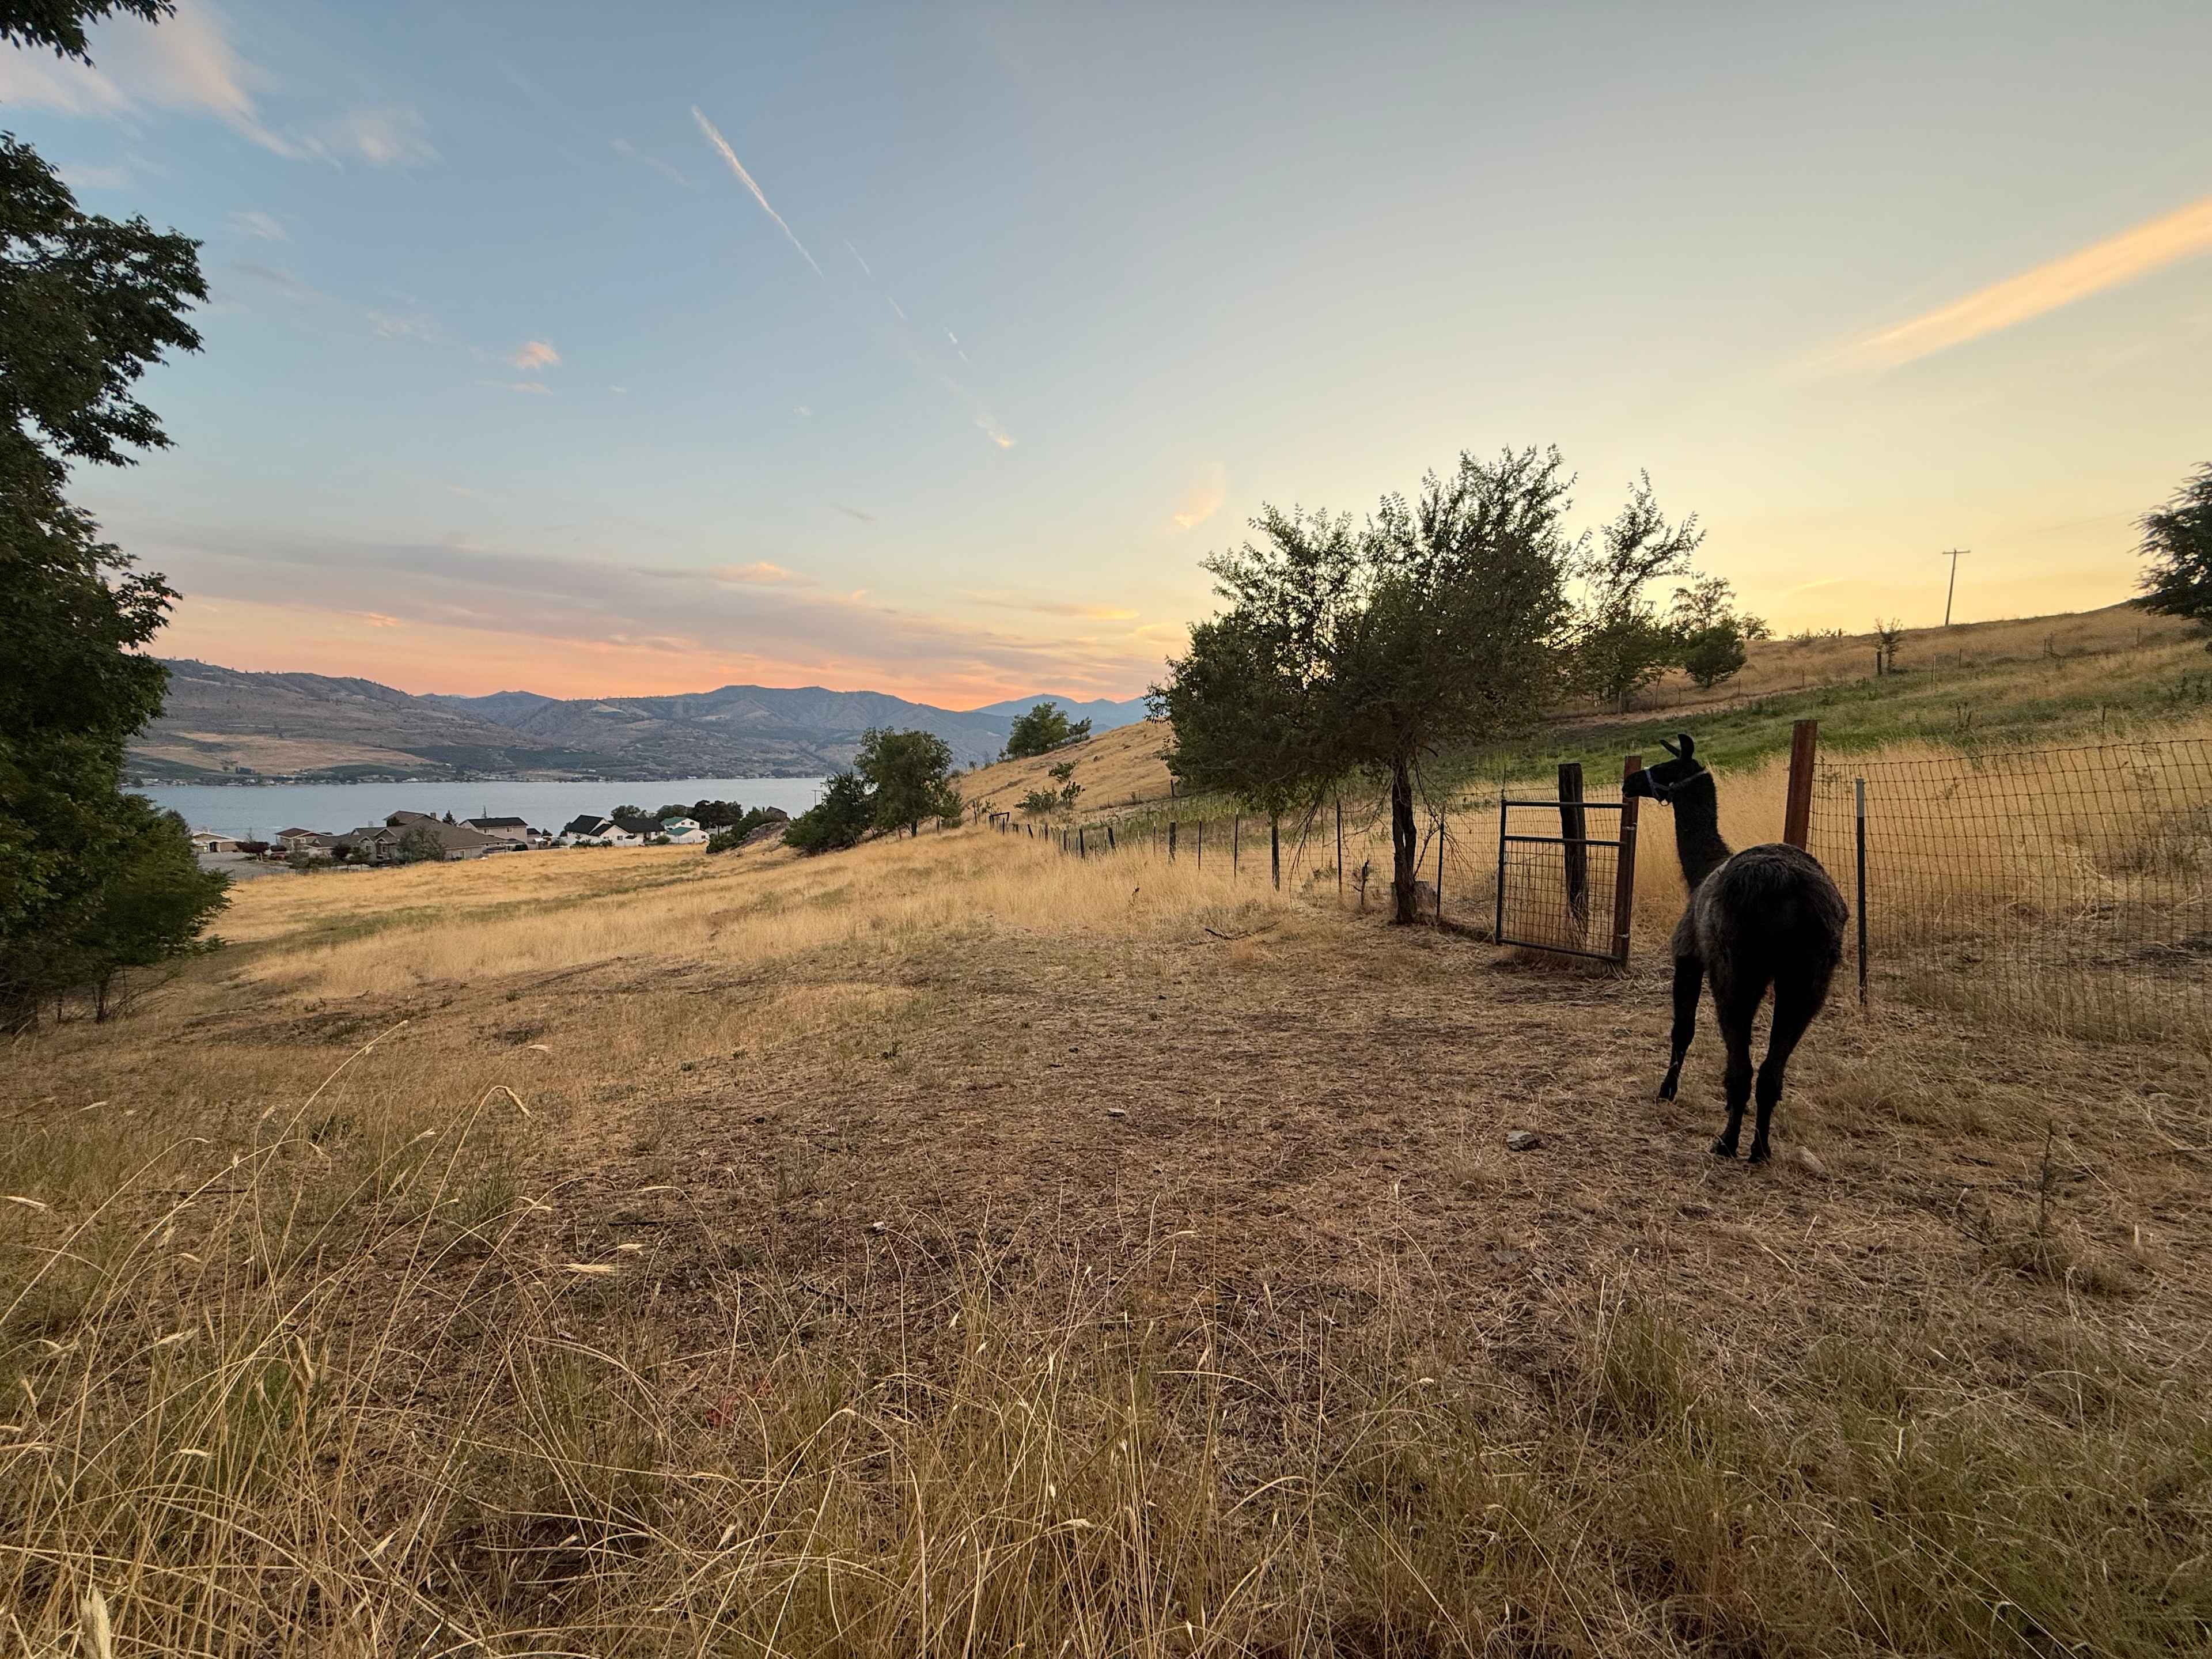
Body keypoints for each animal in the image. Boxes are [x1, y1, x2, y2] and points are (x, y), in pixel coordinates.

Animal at [1623, 733, 1848, 1163]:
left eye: (1666, 766)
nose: (1629, 782)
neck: (1700, 870)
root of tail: (1791, 892)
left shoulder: (1688, 955)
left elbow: (1683, 1030)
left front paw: (1666, 1090)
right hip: (1809, 977)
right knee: (1772, 1071)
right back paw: (1760, 1148)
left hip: (1738, 969)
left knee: (1742, 1065)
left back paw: (1727, 1142)